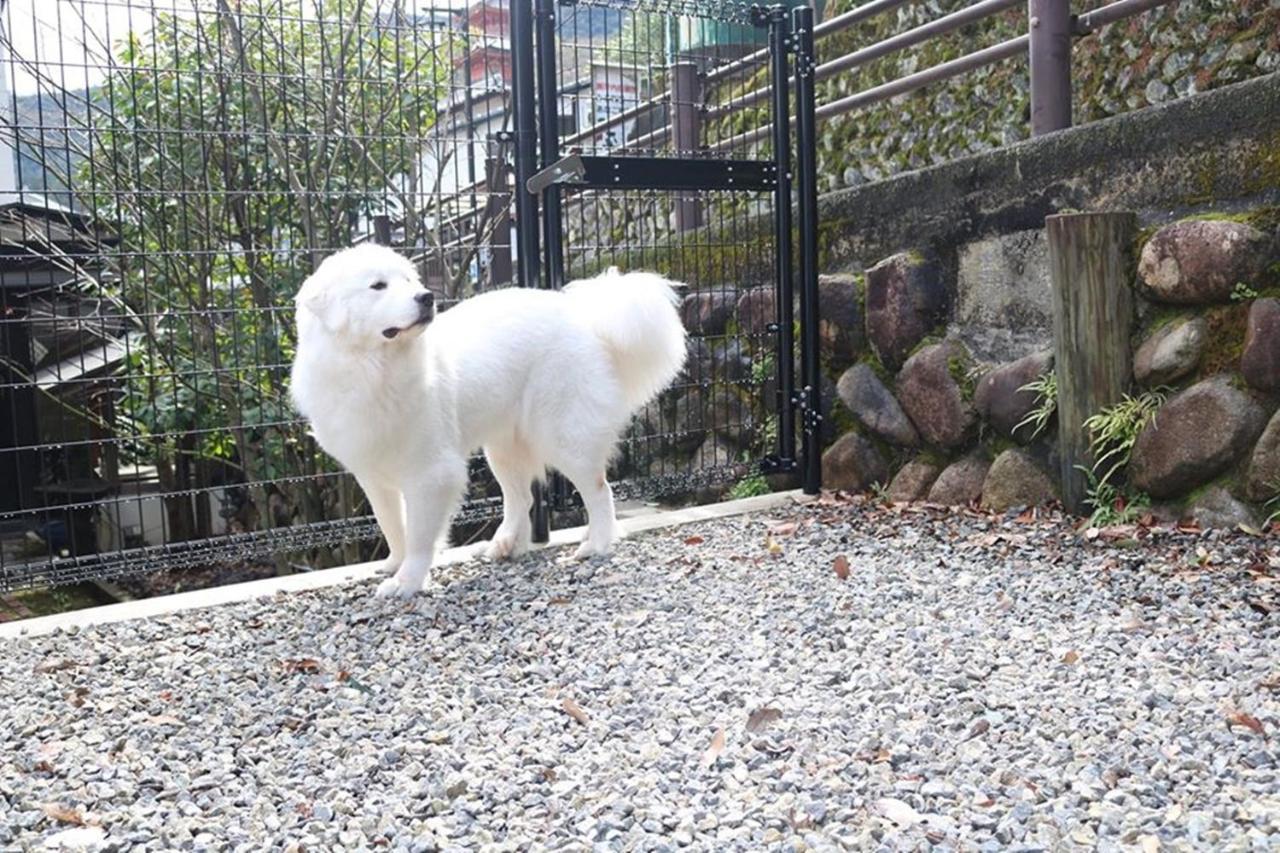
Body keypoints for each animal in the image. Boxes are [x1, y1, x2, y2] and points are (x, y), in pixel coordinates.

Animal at [291, 242, 691, 594]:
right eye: (378, 286)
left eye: (408, 280)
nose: (426, 297)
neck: (371, 369)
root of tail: (583, 318)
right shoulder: (374, 476)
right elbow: (392, 525)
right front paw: (394, 564)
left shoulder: (432, 475)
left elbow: (419, 535)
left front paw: (407, 581)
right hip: (503, 448)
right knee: (522, 499)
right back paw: (505, 545)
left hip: (564, 437)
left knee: (598, 490)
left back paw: (598, 544)